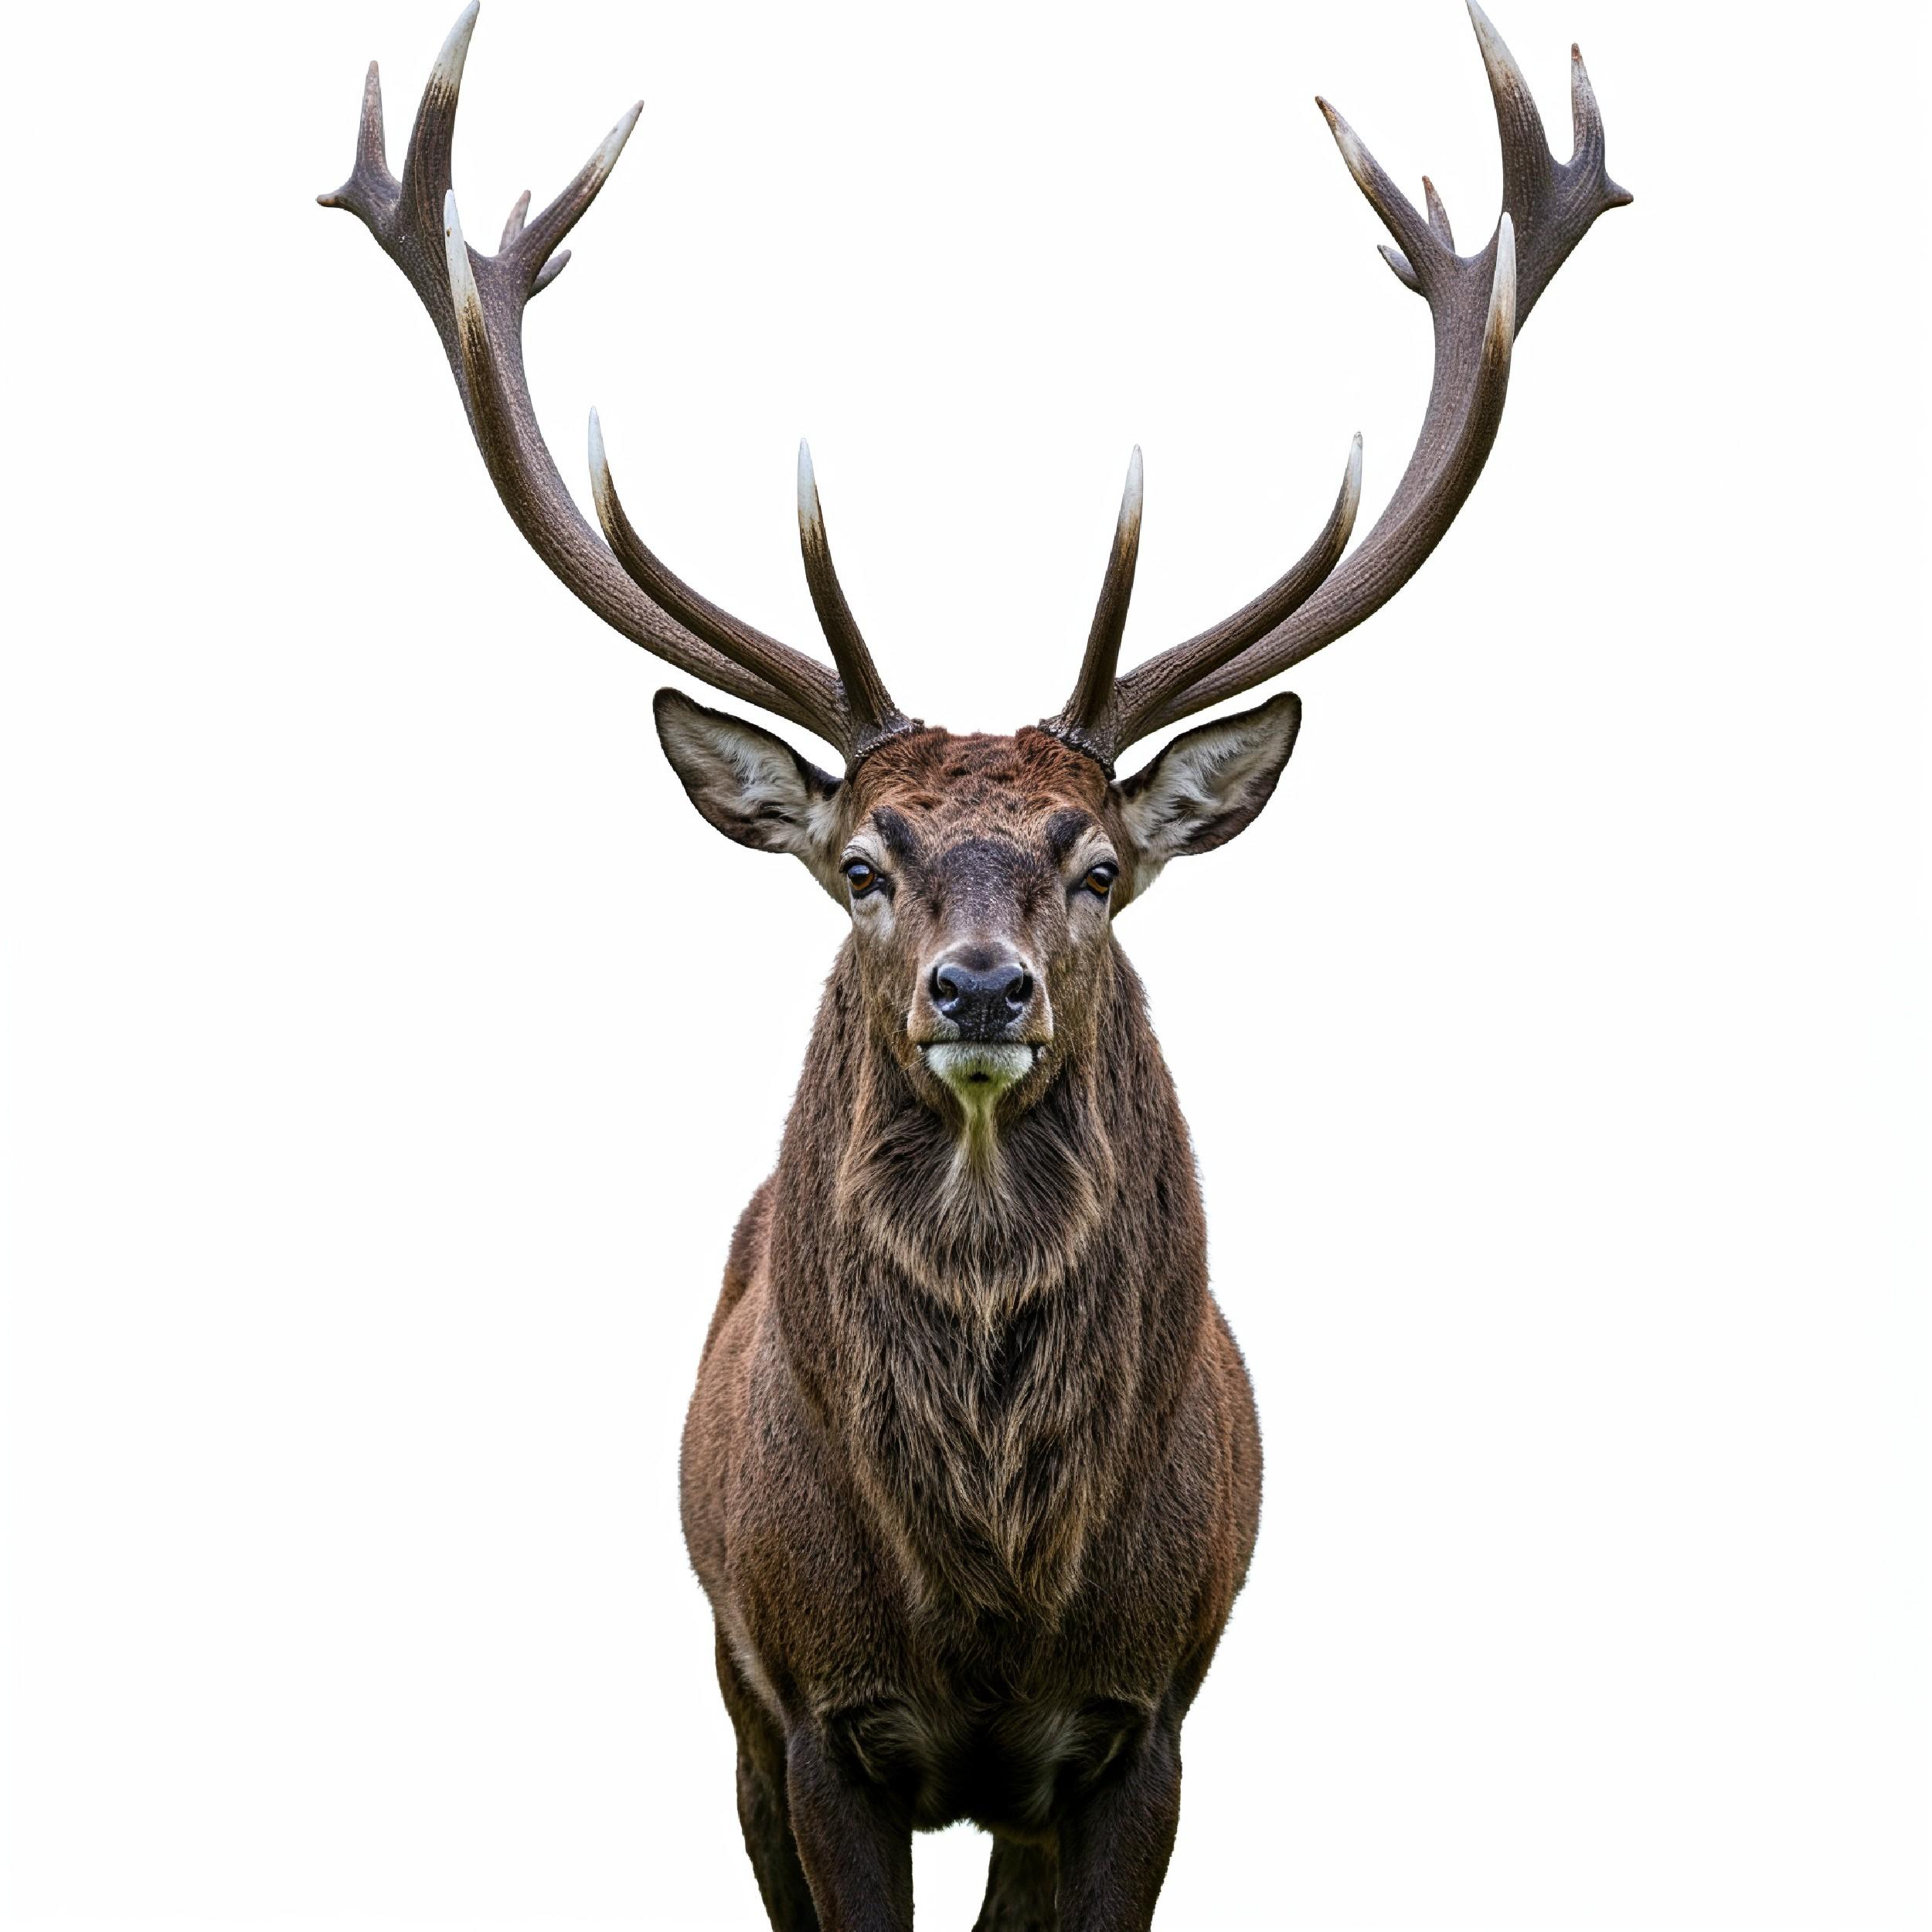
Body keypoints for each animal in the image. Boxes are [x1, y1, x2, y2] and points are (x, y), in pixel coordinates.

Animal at [320, 5, 1627, 1924]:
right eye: (860, 864)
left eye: (1099, 868)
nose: (983, 988)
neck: (991, 1595)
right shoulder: (809, 1711)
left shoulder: (1143, 1717)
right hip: (730, 1695)